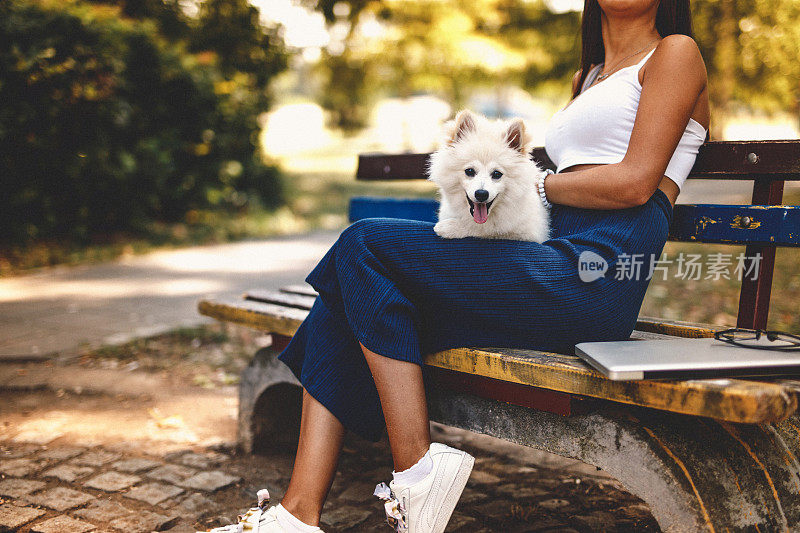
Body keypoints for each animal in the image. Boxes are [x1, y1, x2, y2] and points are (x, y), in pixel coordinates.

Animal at [432, 110, 552, 243]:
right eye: (469, 171)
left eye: (496, 174)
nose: (481, 194)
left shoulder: (530, 234)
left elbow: (487, 230)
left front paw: (451, 227)